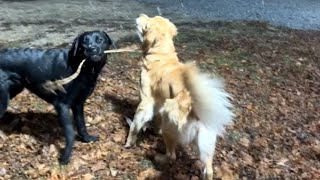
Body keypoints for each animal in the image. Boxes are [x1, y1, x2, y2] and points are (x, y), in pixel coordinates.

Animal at [0, 30, 112, 165]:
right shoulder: (62, 105)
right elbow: (70, 133)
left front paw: (87, 139)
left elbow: (82, 125)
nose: (91, 49)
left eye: (100, 39)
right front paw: (65, 157)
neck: (83, 67)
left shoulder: (78, 104)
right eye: (84, 42)